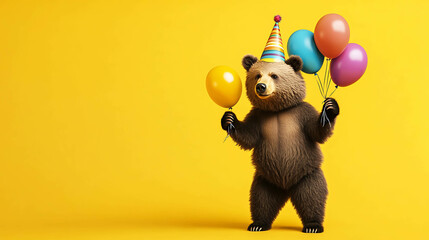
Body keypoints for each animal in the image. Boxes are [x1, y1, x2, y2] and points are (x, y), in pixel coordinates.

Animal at [221, 54, 338, 232]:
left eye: (274, 75)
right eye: (257, 75)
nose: (261, 87)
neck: (277, 110)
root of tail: (286, 188)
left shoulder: (300, 114)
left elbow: (316, 131)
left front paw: (330, 108)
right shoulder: (258, 117)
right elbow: (248, 137)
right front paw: (229, 119)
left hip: (307, 174)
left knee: (312, 196)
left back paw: (313, 225)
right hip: (265, 179)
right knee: (261, 200)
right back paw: (258, 224)